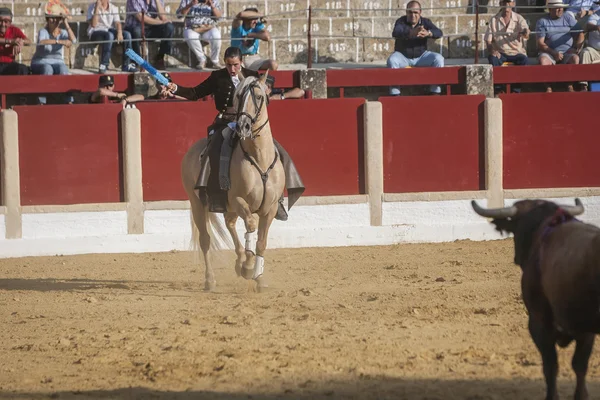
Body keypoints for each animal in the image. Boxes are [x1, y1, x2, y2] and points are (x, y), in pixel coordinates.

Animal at [180, 72, 286, 290]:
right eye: (238, 97)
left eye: (259, 97)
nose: (243, 126)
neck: (259, 157)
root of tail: (192, 150)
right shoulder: (238, 200)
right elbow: (251, 225)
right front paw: (249, 267)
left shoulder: (270, 207)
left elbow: (261, 242)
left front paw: (258, 277)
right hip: (197, 203)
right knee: (205, 239)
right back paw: (210, 280)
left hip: (226, 206)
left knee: (229, 223)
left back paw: (239, 262)